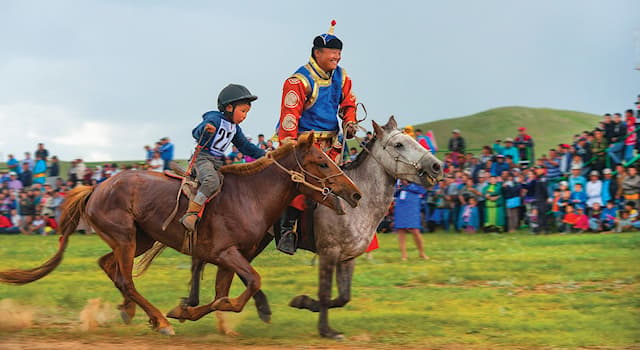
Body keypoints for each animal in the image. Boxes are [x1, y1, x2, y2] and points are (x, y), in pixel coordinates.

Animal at [0, 133, 360, 334]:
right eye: (322, 162)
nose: (355, 194)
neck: (250, 196)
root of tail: (96, 187)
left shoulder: (229, 259)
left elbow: (223, 296)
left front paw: (189, 311)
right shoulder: (227, 254)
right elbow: (248, 287)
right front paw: (182, 312)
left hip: (138, 238)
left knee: (109, 267)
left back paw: (131, 311)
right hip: (125, 238)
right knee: (125, 279)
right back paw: (159, 321)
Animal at [168, 117, 442, 340]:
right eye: (399, 145)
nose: (437, 165)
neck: (355, 204)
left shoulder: (348, 257)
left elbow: (343, 297)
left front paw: (304, 303)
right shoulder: (329, 252)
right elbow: (325, 292)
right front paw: (325, 329)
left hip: (253, 242)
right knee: (205, 264)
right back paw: (202, 304)